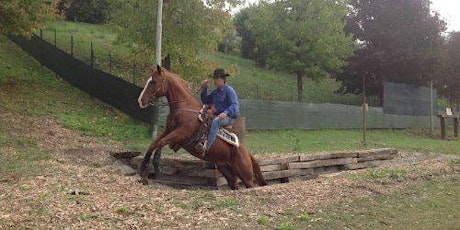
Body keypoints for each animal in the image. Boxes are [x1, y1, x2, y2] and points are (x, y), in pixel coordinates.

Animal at [136, 65, 266, 190]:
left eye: (153, 81)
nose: (140, 101)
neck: (184, 107)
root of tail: (247, 153)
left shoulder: (181, 133)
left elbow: (160, 142)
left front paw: (152, 168)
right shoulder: (169, 130)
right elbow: (154, 144)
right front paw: (144, 173)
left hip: (246, 176)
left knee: (250, 185)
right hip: (226, 170)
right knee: (234, 184)